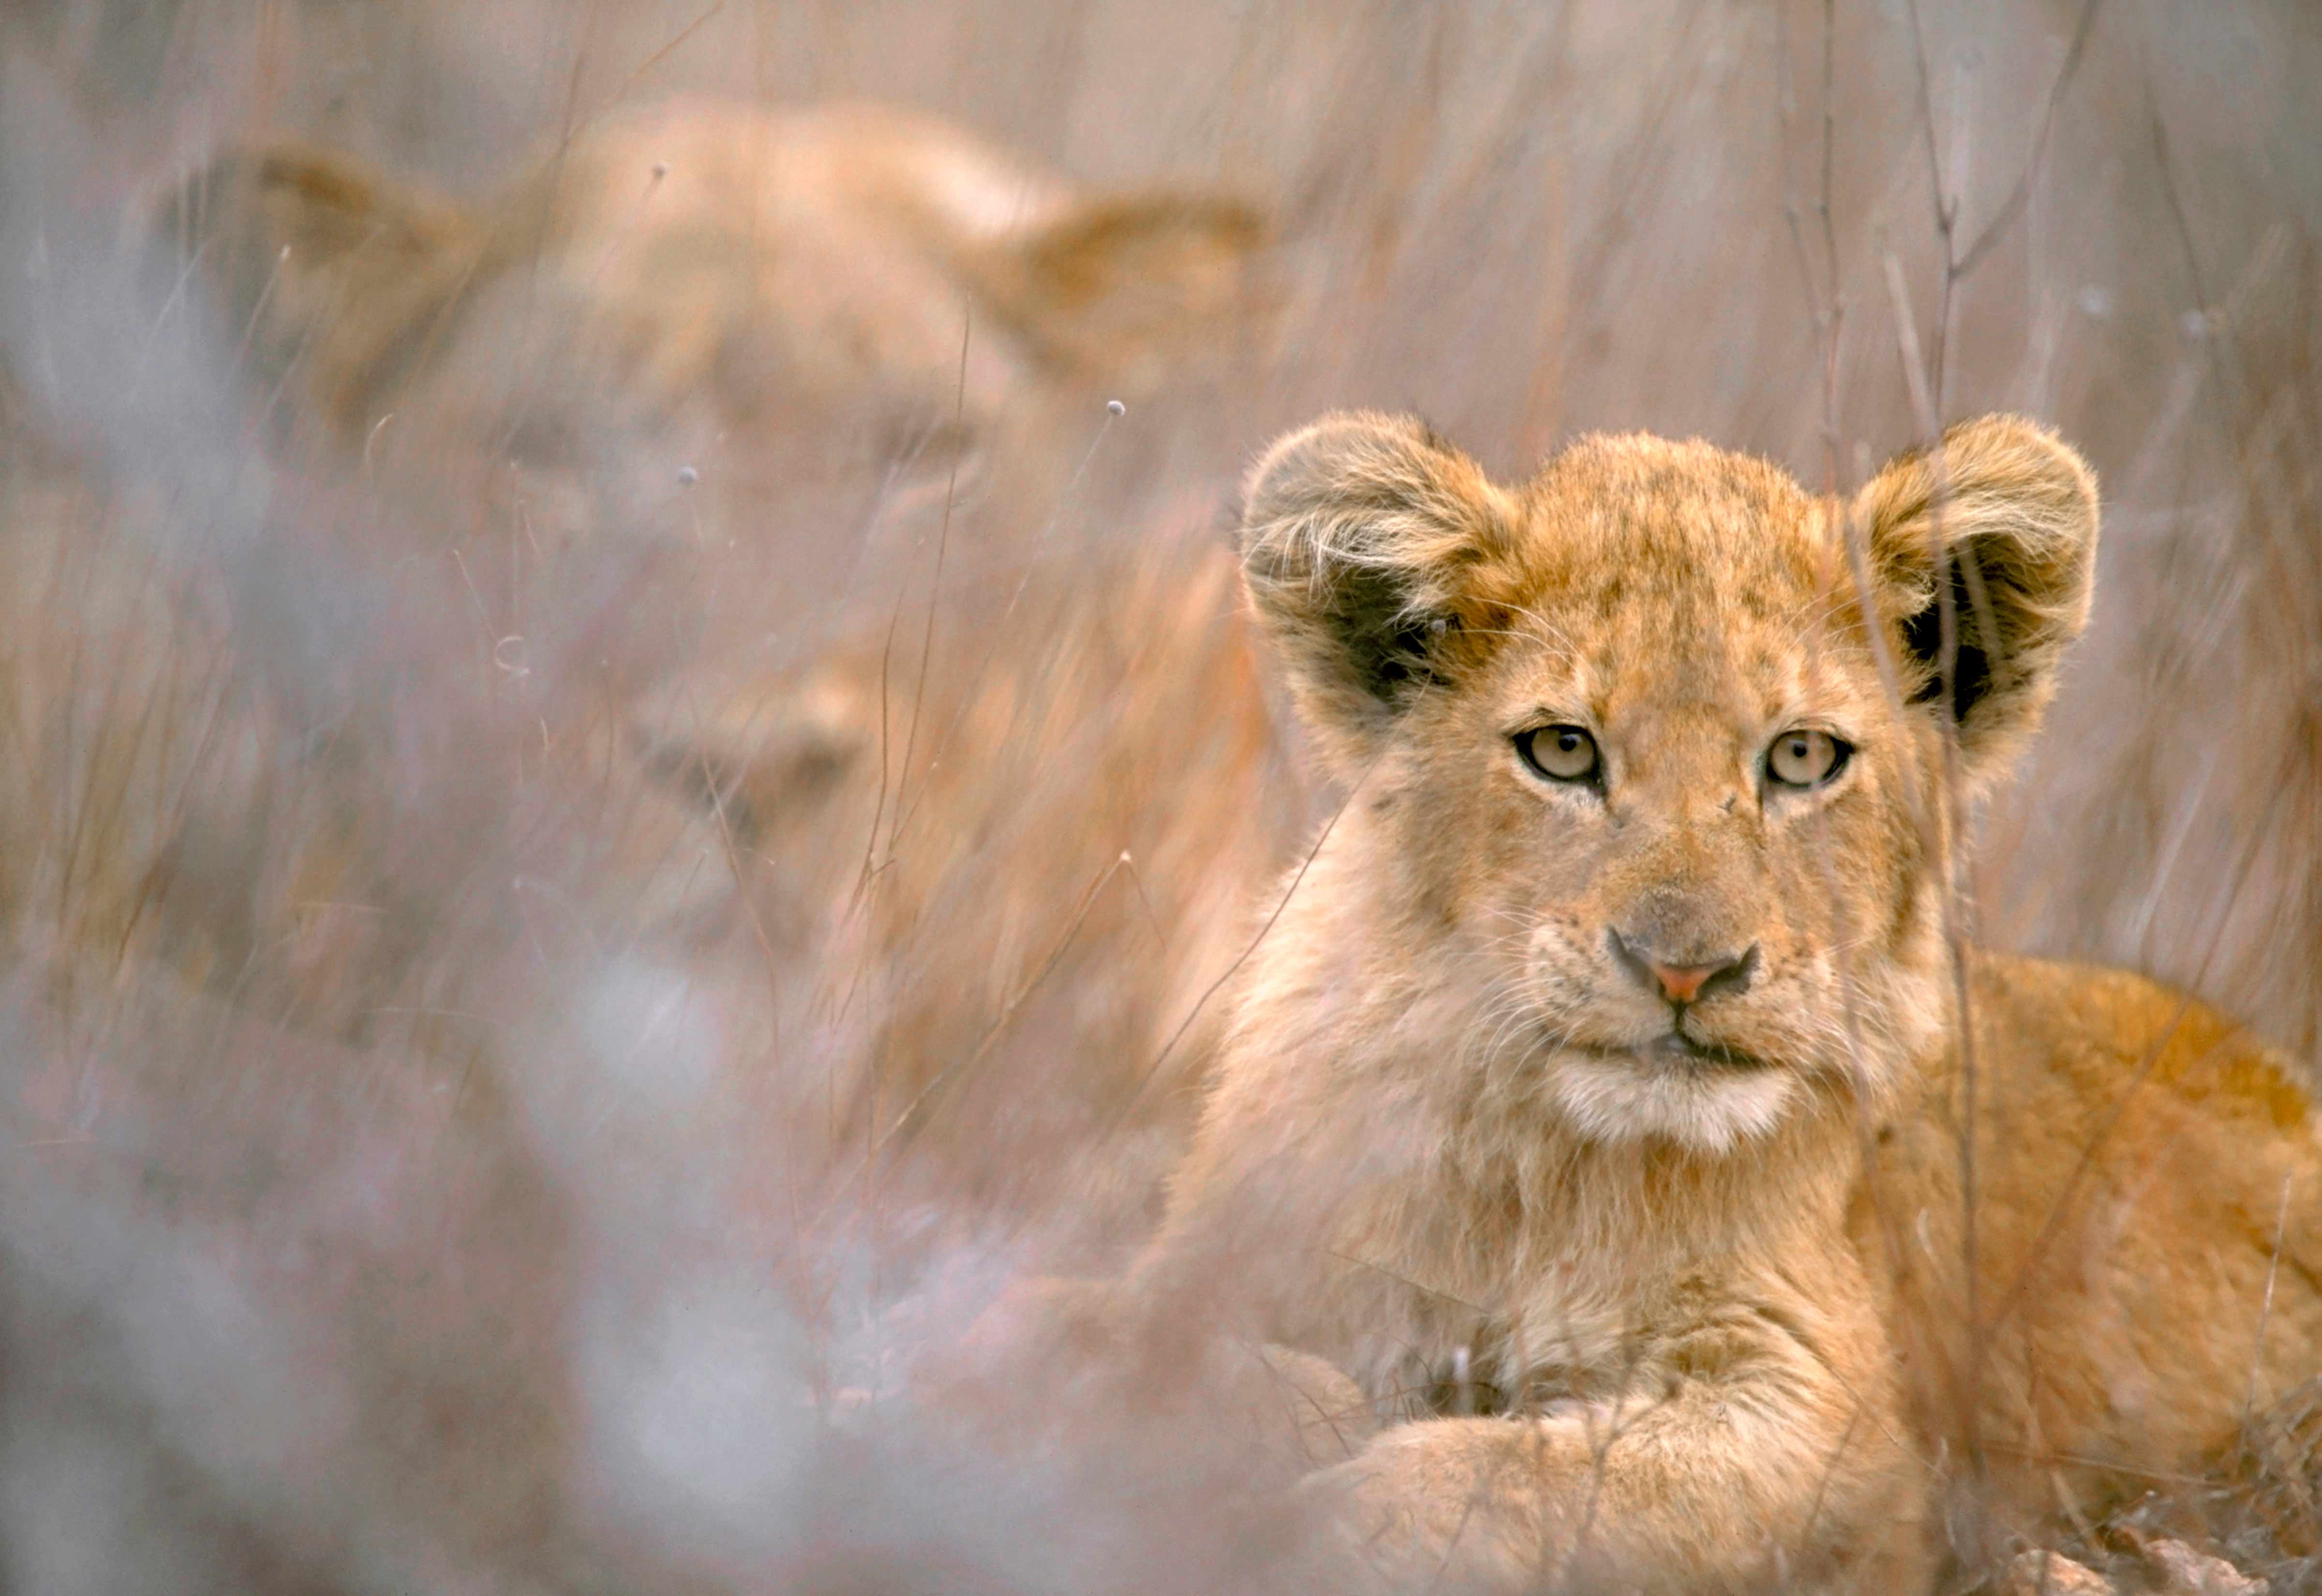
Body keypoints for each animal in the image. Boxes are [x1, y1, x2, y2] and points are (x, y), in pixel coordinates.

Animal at [1095, 411, 2322, 1591]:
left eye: (1800, 757)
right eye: (1561, 749)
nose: (1686, 969)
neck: (1546, 1182)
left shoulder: (1832, 1415)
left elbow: (1548, 1484)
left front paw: (1328, 1516)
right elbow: (1133, 1344)